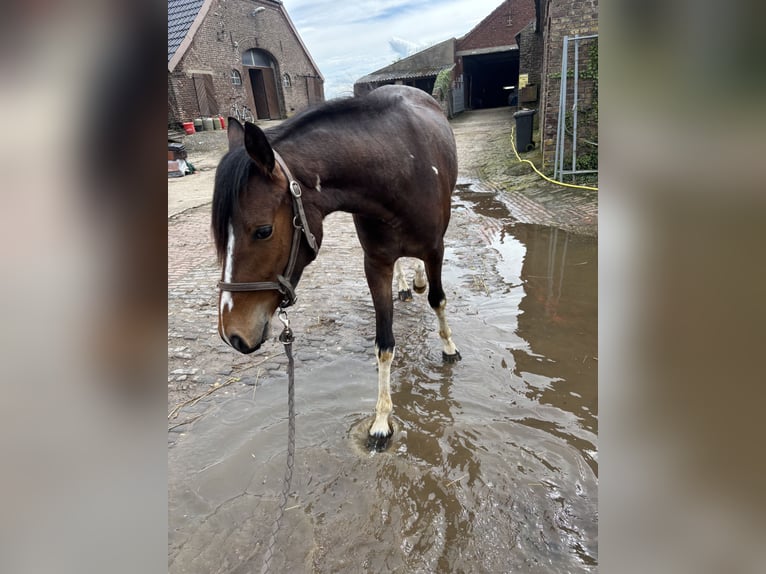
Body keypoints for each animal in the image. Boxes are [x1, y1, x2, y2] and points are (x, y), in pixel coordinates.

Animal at [212, 85, 461, 451]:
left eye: (263, 230)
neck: (399, 169)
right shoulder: (376, 264)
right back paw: (404, 284)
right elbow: (384, 343)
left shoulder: (435, 250)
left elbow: (438, 300)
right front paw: (381, 420)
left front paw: (448, 347)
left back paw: (416, 281)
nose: (233, 334)